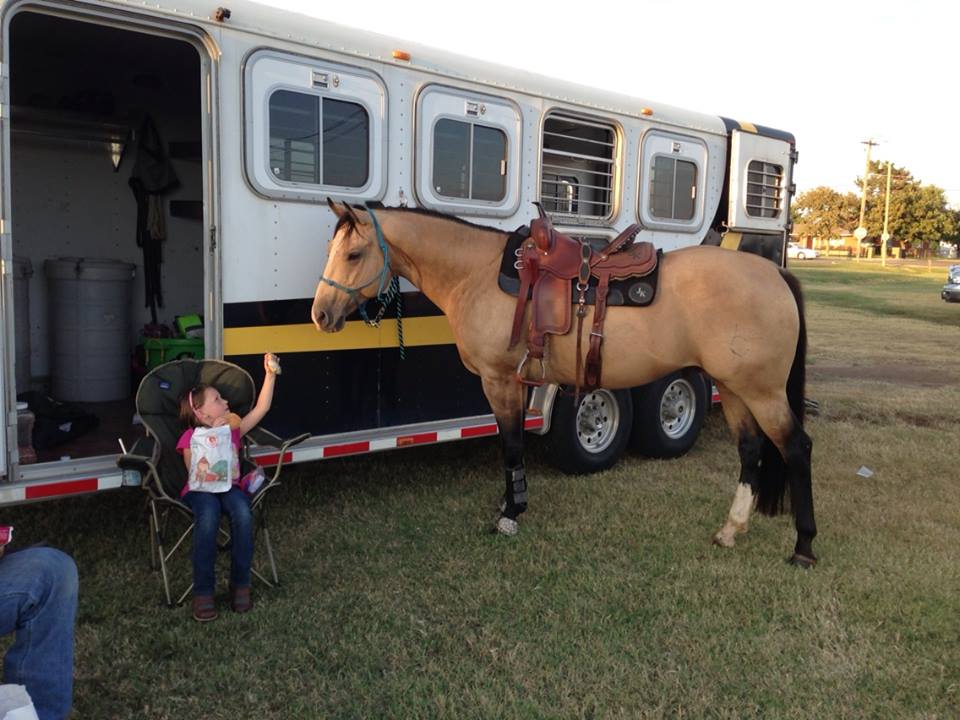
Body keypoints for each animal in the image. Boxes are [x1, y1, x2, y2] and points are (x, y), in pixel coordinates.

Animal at [310, 200, 816, 564]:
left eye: (353, 254)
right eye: (331, 251)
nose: (320, 315)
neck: (476, 274)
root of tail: (774, 273)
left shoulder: (500, 380)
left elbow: (512, 445)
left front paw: (510, 515)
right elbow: (511, 444)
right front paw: (511, 503)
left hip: (762, 392)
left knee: (795, 447)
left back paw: (804, 547)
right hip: (734, 388)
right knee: (750, 450)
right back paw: (731, 530)